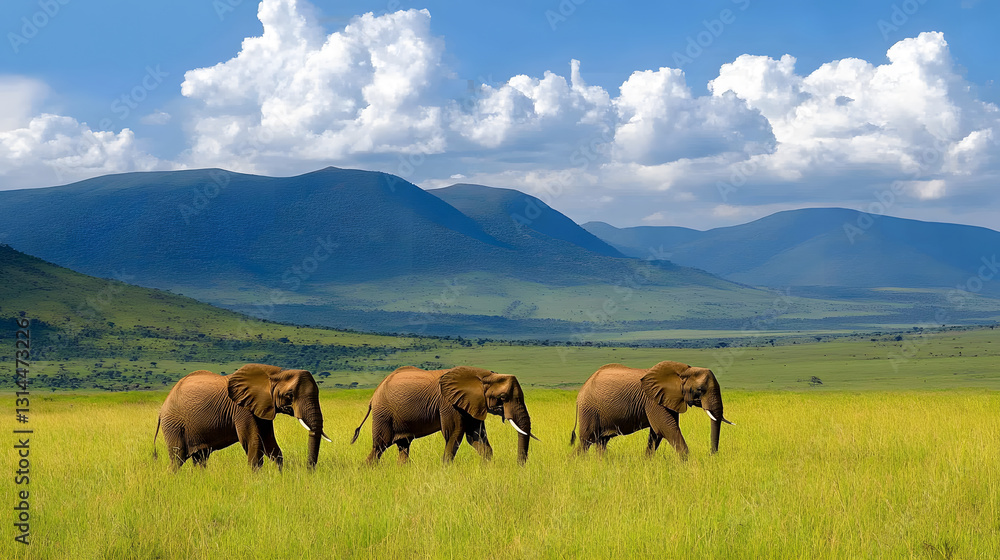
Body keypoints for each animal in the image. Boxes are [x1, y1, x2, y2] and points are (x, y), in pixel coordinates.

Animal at [153, 363, 331, 471]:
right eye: (290, 395)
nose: (309, 471)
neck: (274, 374)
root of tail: (162, 409)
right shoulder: (241, 409)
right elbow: (253, 441)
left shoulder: (262, 407)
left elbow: (270, 444)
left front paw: (279, 476)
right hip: (174, 425)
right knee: (177, 459)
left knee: (200, 458)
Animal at [351, 365, 539, 465]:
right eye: (503, 397)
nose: (519, 466)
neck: (484, 375)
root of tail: (373, 396)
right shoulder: (449, 404)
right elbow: (454, 434)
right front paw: (446, 469)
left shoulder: (471, 404)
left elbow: (476, 436)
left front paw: (487, 467)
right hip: (383, 413)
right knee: (380, 446)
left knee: (403, 445)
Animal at [570, 361, 733, 458]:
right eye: (700, 390)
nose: (712, 455)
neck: (683, 370)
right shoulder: (652, 400)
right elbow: (666, 428)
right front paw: (685, 461)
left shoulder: (667, 398)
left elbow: (656, 433)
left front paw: (646, 461)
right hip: (589, 409)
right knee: (586, 440)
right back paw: (577, 463)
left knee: (601, 442)